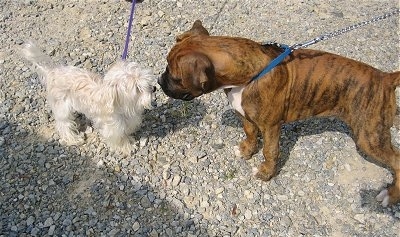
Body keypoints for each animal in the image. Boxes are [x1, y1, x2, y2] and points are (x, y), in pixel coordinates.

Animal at [21, 42, 154, 154]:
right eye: (137, 88)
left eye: (146, 79)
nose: (153, 88)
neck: (122, 104)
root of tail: (51, 72)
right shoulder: (113, 127)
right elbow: (119, 138)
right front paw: (127, 147)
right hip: (62, 108)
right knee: (64, 126)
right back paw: (73, 139)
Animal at [158, 19, 400, 206]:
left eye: (175, 76)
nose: (160, 81)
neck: (249, 75)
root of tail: (385, 78)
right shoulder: (246, 116)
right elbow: (249, 133)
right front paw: (246, 150)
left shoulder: (271, 127)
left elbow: (270, 151)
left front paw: (266, 172)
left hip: (369, 138)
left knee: (396, 161)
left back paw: (391, 195)